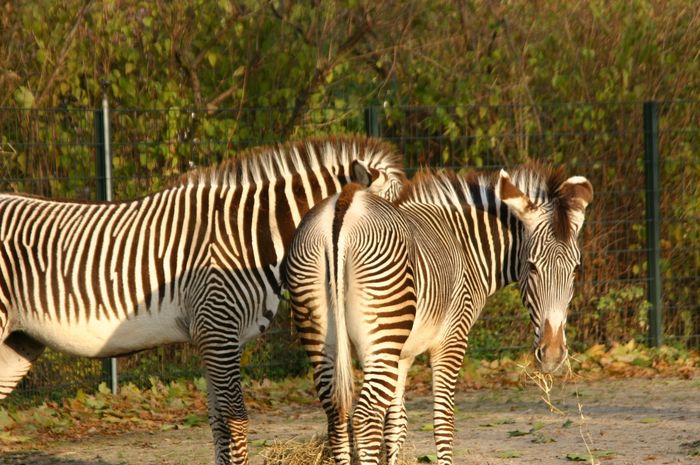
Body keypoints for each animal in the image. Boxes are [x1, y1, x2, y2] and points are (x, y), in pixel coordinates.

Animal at [0, 136, 404, 462]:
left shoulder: (215, 340)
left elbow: (217, 425)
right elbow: (235, 420)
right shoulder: (219, 331)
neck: (247, 233)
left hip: (19, 341)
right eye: (394, 214)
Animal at [282, 163, 592, 464]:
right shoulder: (451, 339)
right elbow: (443, 422)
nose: (552, 355)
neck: (465, 246)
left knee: (337, 416)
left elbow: (396, 425)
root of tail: (345, 203)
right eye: (532, 266)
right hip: (380, 336)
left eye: (576, 269)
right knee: (366, 418)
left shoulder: (402, 355)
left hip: (325, 336)